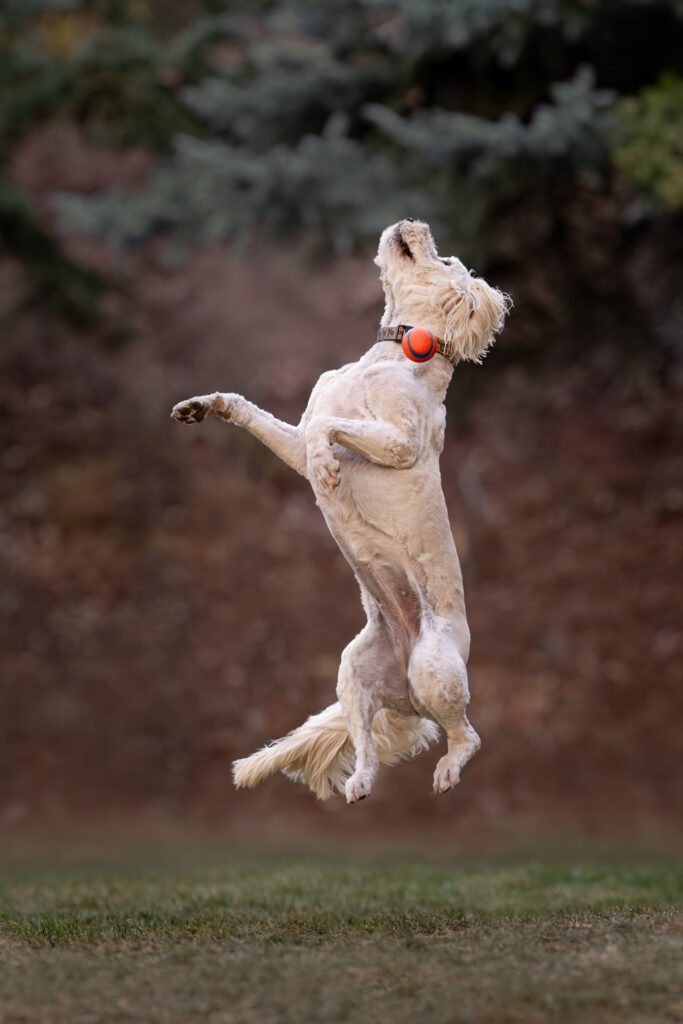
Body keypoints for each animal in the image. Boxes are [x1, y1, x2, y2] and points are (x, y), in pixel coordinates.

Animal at [174, 220, 509, 802]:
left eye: (445, 260)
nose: (413, 223)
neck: (395, 356)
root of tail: (409, 697)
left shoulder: (400, 442)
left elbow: (333, 431)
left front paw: (331, 469)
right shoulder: (298, 435)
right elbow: (267, 417)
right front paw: (204, 406)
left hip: (434, 667)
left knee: (467, 734)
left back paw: (447, 771)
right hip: (353, 670)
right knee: (368, 744)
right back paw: (361, 782)